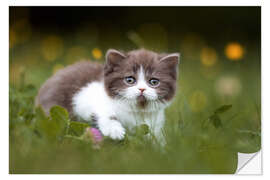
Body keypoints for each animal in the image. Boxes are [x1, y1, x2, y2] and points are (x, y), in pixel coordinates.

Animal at [35, 49, 179, 142]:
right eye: (130, 80)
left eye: (154, 82)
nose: (142, 89)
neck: (136, 110)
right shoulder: (84, 96)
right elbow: (104, 113)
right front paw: (114, 131)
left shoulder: (155, 124)